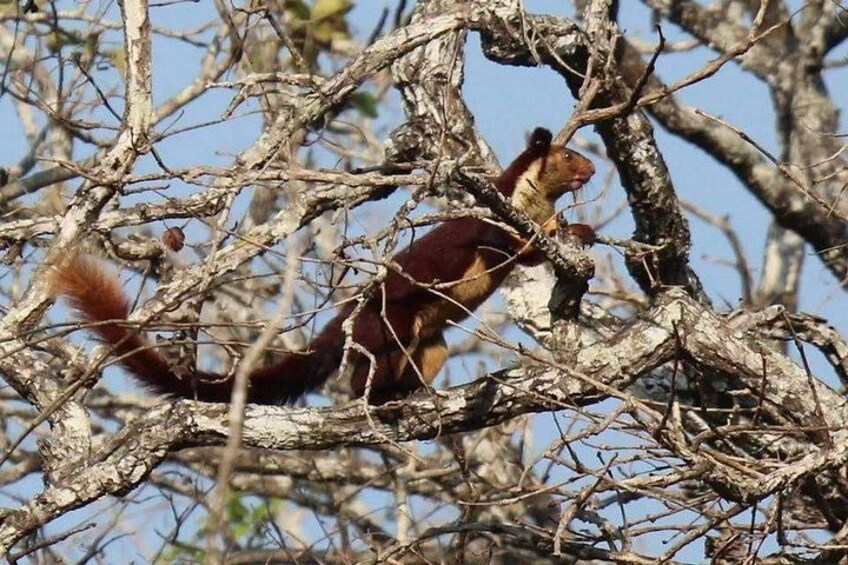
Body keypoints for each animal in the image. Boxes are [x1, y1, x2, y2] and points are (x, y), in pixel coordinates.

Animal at [49, 128, 595, 404]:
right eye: (570, 155)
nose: (591, 169)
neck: (529, 203)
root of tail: (341, 322)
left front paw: (579, 231)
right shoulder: (490, 223)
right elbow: (508, 249)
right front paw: (549, 237)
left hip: (431, 342)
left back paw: (412, 392)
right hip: (388, 323)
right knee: (360, 379)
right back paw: (382, 398)